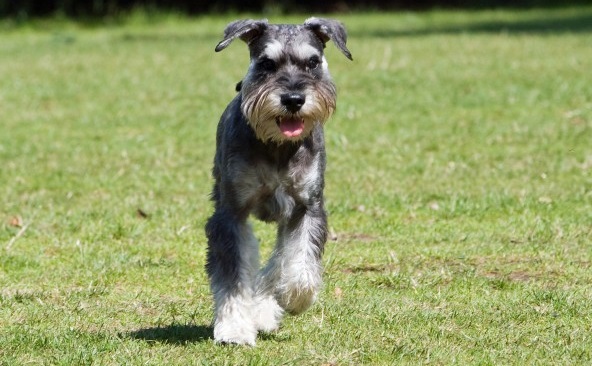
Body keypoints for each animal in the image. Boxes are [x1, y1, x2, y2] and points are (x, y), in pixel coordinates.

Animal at [206, 17, 352, 344]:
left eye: (313, 62)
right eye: (267, 63)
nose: (294, 99)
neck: (277, 145)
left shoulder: (307, 207)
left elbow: (299, 260)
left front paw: (293, 297)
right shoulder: (231, 214)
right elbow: (233, 274)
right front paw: (234, 328)